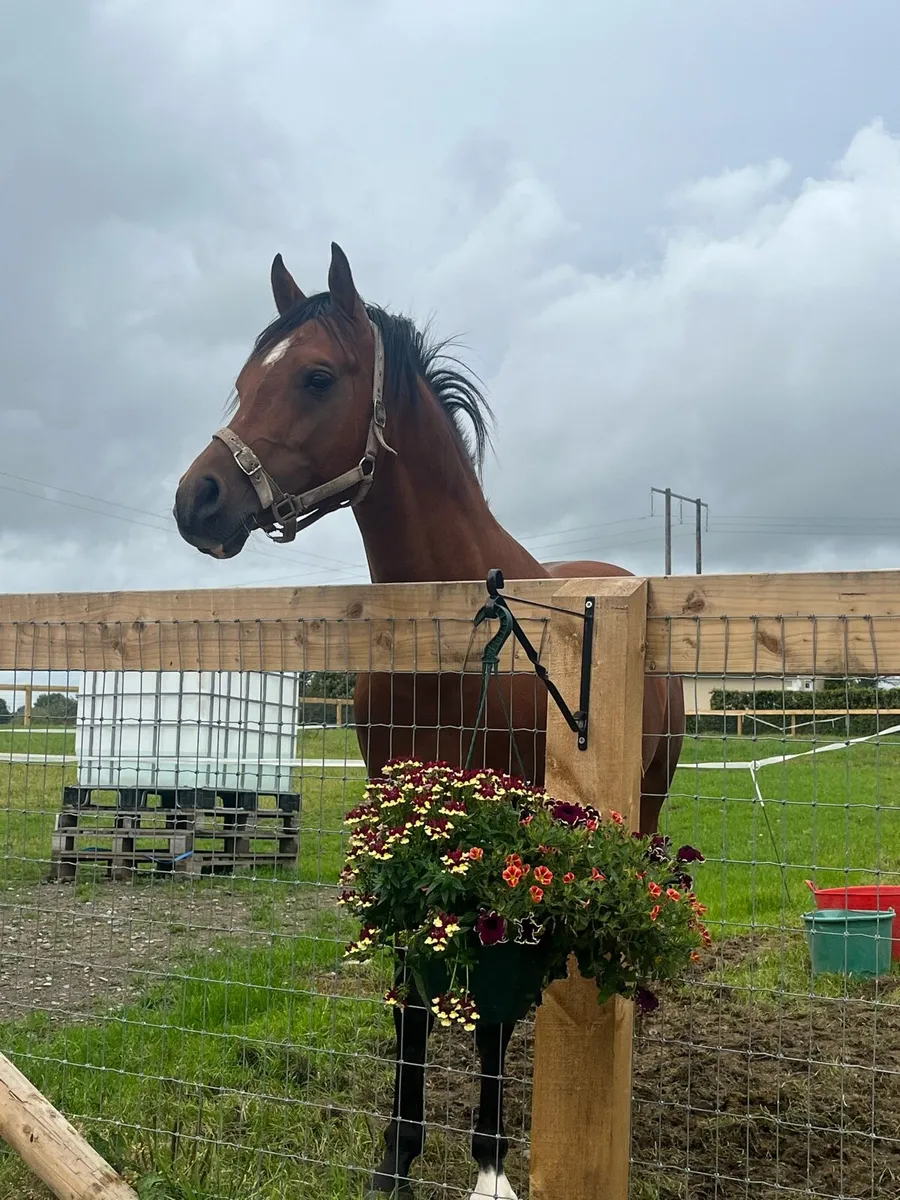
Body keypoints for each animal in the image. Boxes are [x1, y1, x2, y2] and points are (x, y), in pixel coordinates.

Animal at [173, 242, 685, 1200]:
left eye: (316, 376)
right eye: (242, 382)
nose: (199, 499)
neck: (449, 634)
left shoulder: (506, 826)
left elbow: (491, 1001)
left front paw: (489, 1163)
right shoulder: (403, 820)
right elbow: (414, 990)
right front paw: (395, 1160)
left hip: (645, 806)